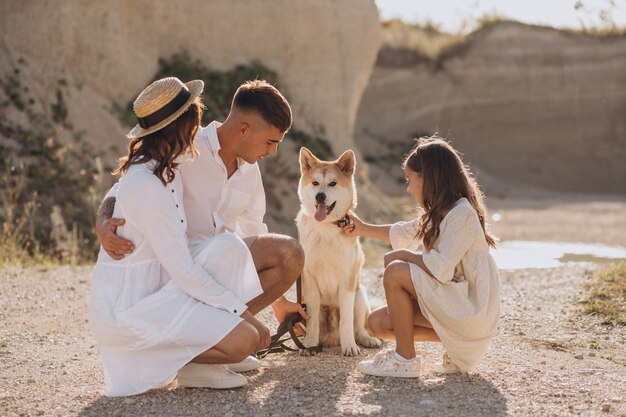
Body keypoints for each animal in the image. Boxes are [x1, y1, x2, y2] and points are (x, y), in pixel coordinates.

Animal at [296, 146, 380, 354]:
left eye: (332, 183)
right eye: (315, 182)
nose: (320, 196)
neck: (326, 227)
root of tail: (331, 339)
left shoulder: (347, 279)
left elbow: (347, 321)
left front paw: (349, 346)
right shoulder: (310, 280)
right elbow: (312, 323)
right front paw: (309, 345)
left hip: (359, 295)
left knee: (359, 328)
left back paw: (367, 339)